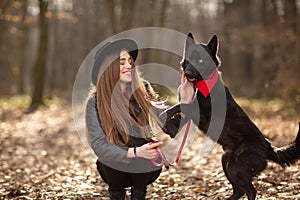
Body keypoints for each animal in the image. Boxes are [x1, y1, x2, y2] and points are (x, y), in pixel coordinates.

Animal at [161, 32, 300, 200]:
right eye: (189, 58)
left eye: (201, 60)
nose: (188, 74)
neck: (199, 84)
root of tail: (269, 147)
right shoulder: (191, 111)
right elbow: (179, 115)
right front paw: (169, 127)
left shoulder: (196, 108)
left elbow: (176, 107)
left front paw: (161, 115)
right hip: (226, 161)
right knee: (239, 190)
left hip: (235, 167)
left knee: (251, 191)